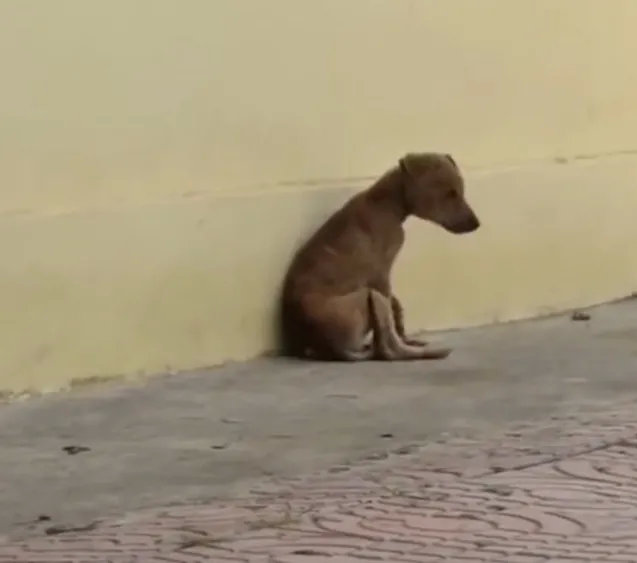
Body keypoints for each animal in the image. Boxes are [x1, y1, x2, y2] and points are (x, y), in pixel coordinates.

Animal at [280, 151, 480, 362]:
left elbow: (396, 308)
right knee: (388, 349)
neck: (387, 203)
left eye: (461, 190)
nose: (476, 224)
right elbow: (391, 317)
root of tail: (330, 348)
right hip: (367, 295)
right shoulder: (381, 276)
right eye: (450, 193)